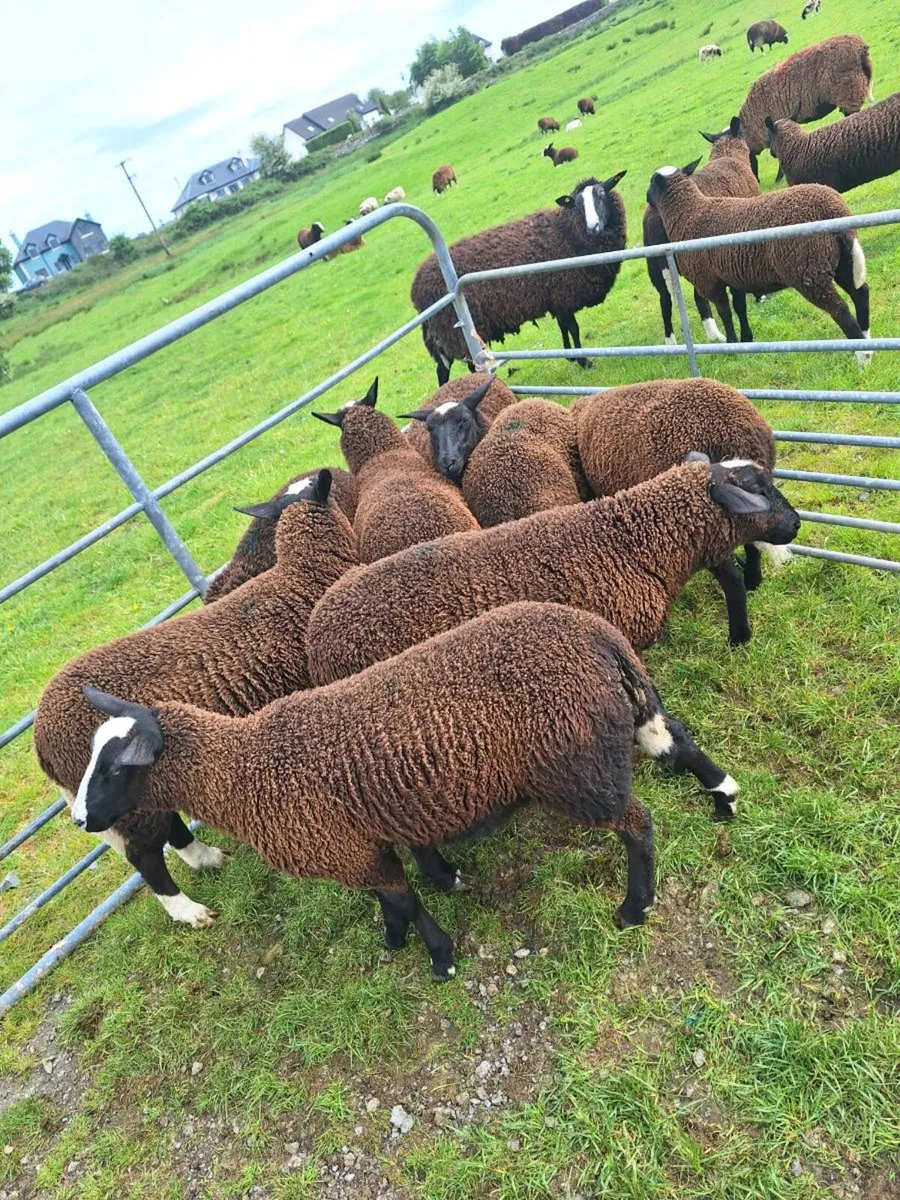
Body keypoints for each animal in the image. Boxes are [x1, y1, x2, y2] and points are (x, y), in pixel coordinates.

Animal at [71, 601, 666, 981]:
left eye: (115, 769)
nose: (79, 820)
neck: (247, 771)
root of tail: (598, 635)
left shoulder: (347, 850)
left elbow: (405, 899)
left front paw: (440, 958)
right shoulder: (358, 845)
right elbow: (392, 897)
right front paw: (397, 935)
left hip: (579, 772)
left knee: (638, 825)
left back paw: (634, 908)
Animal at [411, 173, 627, 385]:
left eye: (602, 194)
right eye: (577, 203)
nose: (593, 227)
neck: (566, 234)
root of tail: (416, 290)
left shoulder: (557, 300)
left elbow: (564, 328)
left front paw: (571, 356)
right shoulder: (563, 295)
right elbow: (574, 328)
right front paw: (584, 361)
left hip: (445, 336)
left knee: (442, 370)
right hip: (456, 332)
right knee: (471, 366)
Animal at [646, 165, 872, 363]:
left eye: (651, 183)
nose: (646, 199)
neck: (690, 214)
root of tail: (832, 210)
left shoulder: (710, 282)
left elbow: (725, 313)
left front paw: (731, 344)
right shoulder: (734, 276)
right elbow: (740, 309)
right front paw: (747, 340)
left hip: (808, 271)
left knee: (840, 310)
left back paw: (863, 357)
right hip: (843, 261)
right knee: (860, 293)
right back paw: (868, 339)